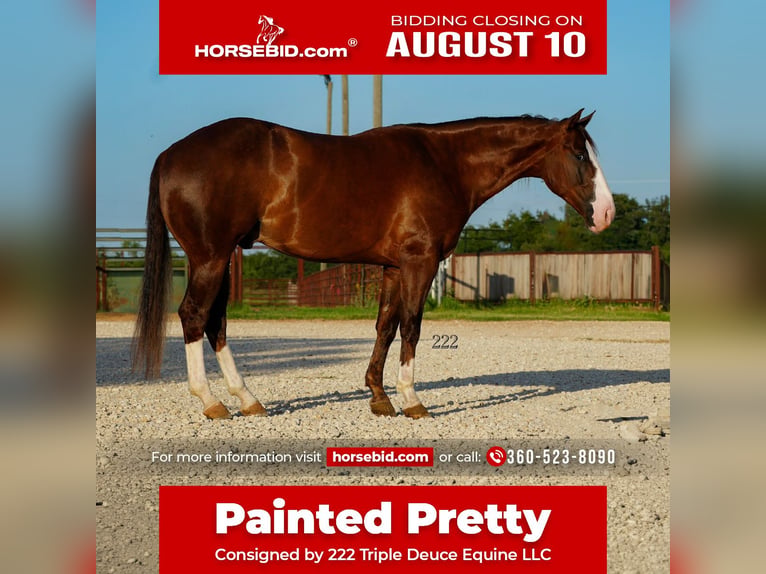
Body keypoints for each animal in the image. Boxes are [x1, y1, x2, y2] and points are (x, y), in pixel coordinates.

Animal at [132, 110, 615, 420]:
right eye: (578, 155)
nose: (606, 214)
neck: (446, 165)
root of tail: (171, 154)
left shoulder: (394, 267)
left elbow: (386, 325)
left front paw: (380, 398)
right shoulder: (419, 261)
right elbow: (412, 326)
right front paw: (412, 400)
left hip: (218, 259)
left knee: (215, 323)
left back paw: (248, 400)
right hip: (210, 258)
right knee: (194, 316)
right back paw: (212, 402)